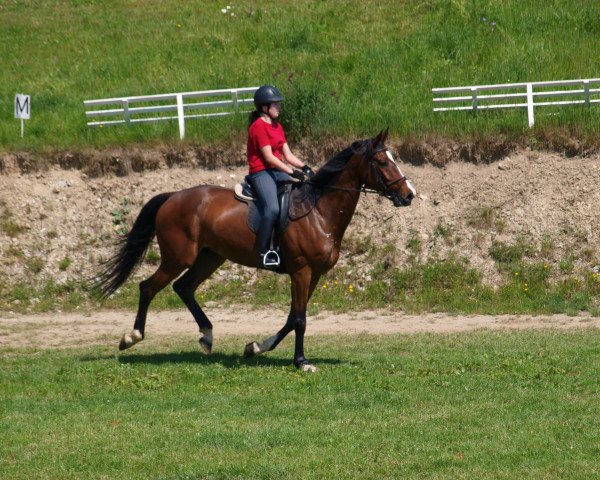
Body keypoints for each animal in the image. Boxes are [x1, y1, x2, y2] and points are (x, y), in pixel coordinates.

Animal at [97, 128, 418, 372]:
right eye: (382, 162)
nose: (408, 195)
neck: (318, 211)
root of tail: (173, 196)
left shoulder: (313, 274)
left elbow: (292, 317)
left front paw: (254, 348)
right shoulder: (301, 271)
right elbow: (300, 319)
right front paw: (301, 362)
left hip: (211, 257)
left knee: (184, 288)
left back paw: (207, 336)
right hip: (178, 257)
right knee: (148, 287)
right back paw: (132, 337)